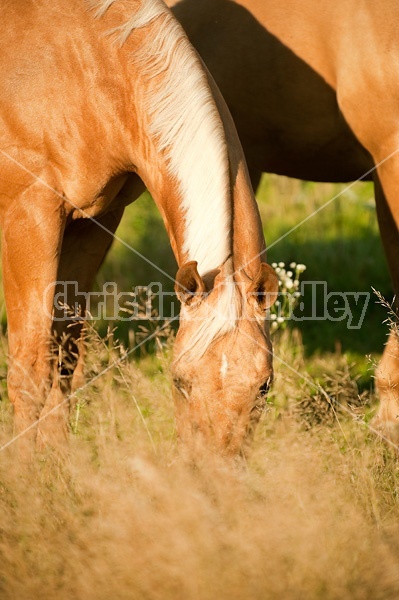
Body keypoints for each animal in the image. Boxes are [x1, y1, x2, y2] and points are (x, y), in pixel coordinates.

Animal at [0, 0, 280, 454]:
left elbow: (64, 351)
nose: (213, 467)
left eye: (264, 386)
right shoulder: (29, 218)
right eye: (180, 382)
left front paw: (56, 460)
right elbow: (30, 369)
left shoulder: (93, 222)